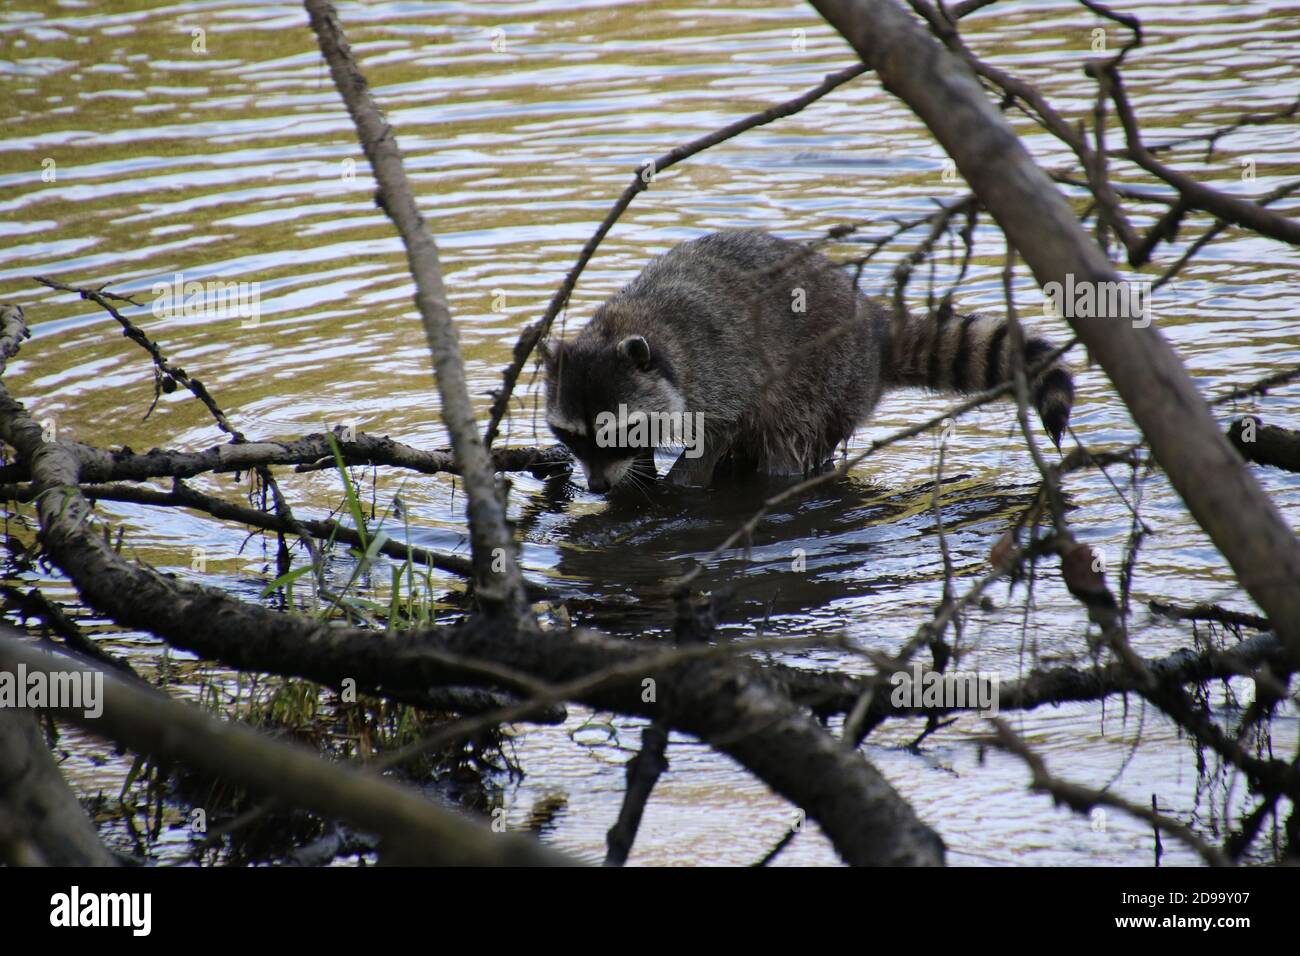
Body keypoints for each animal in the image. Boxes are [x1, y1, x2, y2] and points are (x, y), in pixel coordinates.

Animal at [541, 230, 1073, 493]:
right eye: (573, 436)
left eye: (616, 432)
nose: (597, 489)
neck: (628, 324)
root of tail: (871, 327)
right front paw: (640, 472)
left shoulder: (721, 368)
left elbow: (721, 428)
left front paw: (681, 482)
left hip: (827, 378)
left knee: (789, 439)